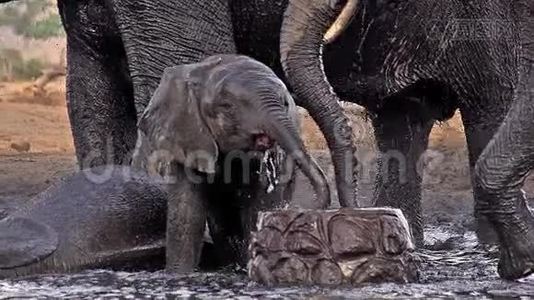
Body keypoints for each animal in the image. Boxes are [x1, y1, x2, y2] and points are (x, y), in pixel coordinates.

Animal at [133, 54, 330, 272]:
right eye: (227, 106)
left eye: (284, 103)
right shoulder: (186, 134)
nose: (309, 208)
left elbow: (258, 207)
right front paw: (179, 273)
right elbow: (187, 213)